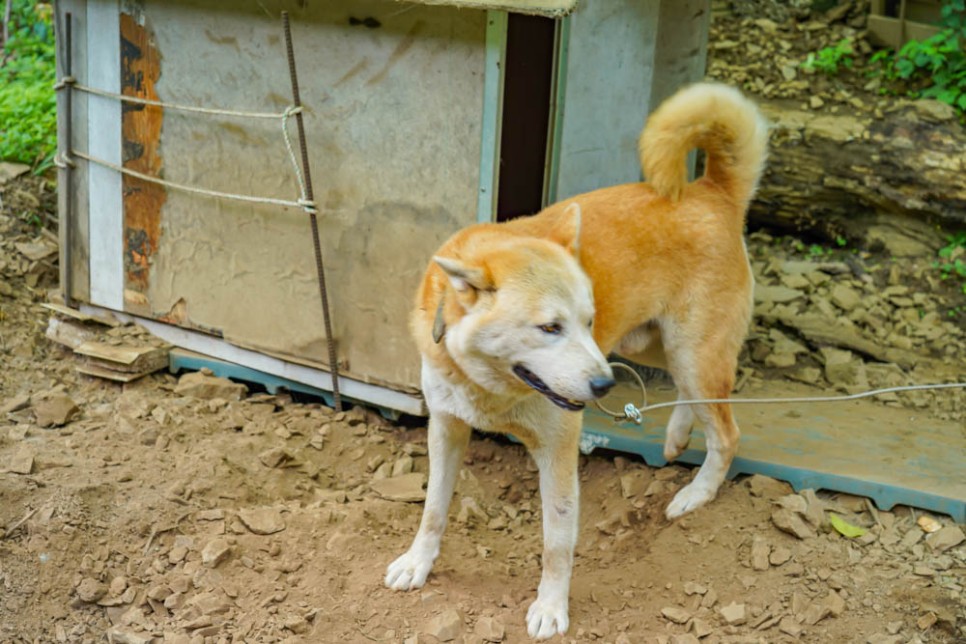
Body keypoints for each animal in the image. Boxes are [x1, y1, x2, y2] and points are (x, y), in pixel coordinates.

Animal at [386, 82, 772, 640]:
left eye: (588, 321)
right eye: (550, 328)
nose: (604, 388)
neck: (489, 386)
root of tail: (710, 190)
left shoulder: (557, 447)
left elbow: (557, 541)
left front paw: (550, 608)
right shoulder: (446, 428)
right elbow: (434, 509)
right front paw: (417, 563)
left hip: (691, 353)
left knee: (726, 432)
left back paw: (695, 494)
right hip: (651, 346)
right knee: (694, 399)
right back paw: (677, 434)